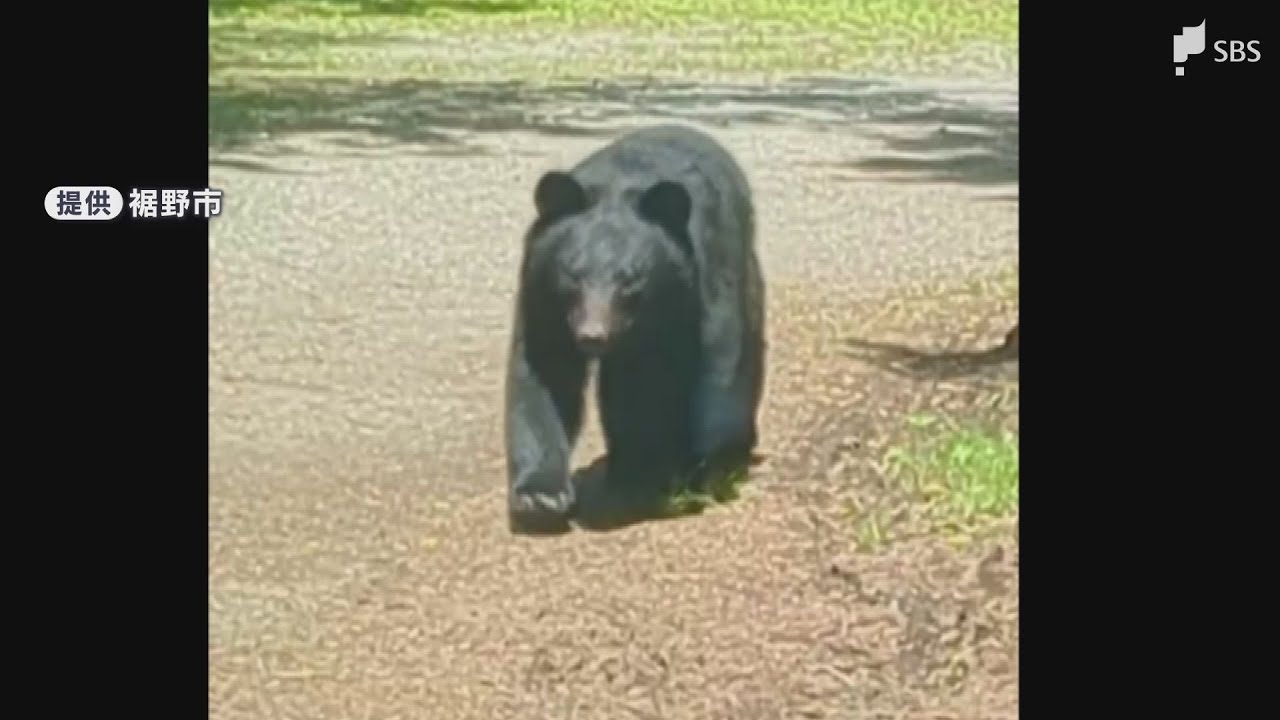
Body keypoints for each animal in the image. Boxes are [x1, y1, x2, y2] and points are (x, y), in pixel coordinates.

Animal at [504, 124, 767, 533]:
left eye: (631, 278)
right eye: (572, 273)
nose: (592, 335)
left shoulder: (708, 270)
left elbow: (721, 356)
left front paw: (706, 471)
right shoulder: (543, 294)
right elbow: (544, 371)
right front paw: (541, 495)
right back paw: (631, 467)